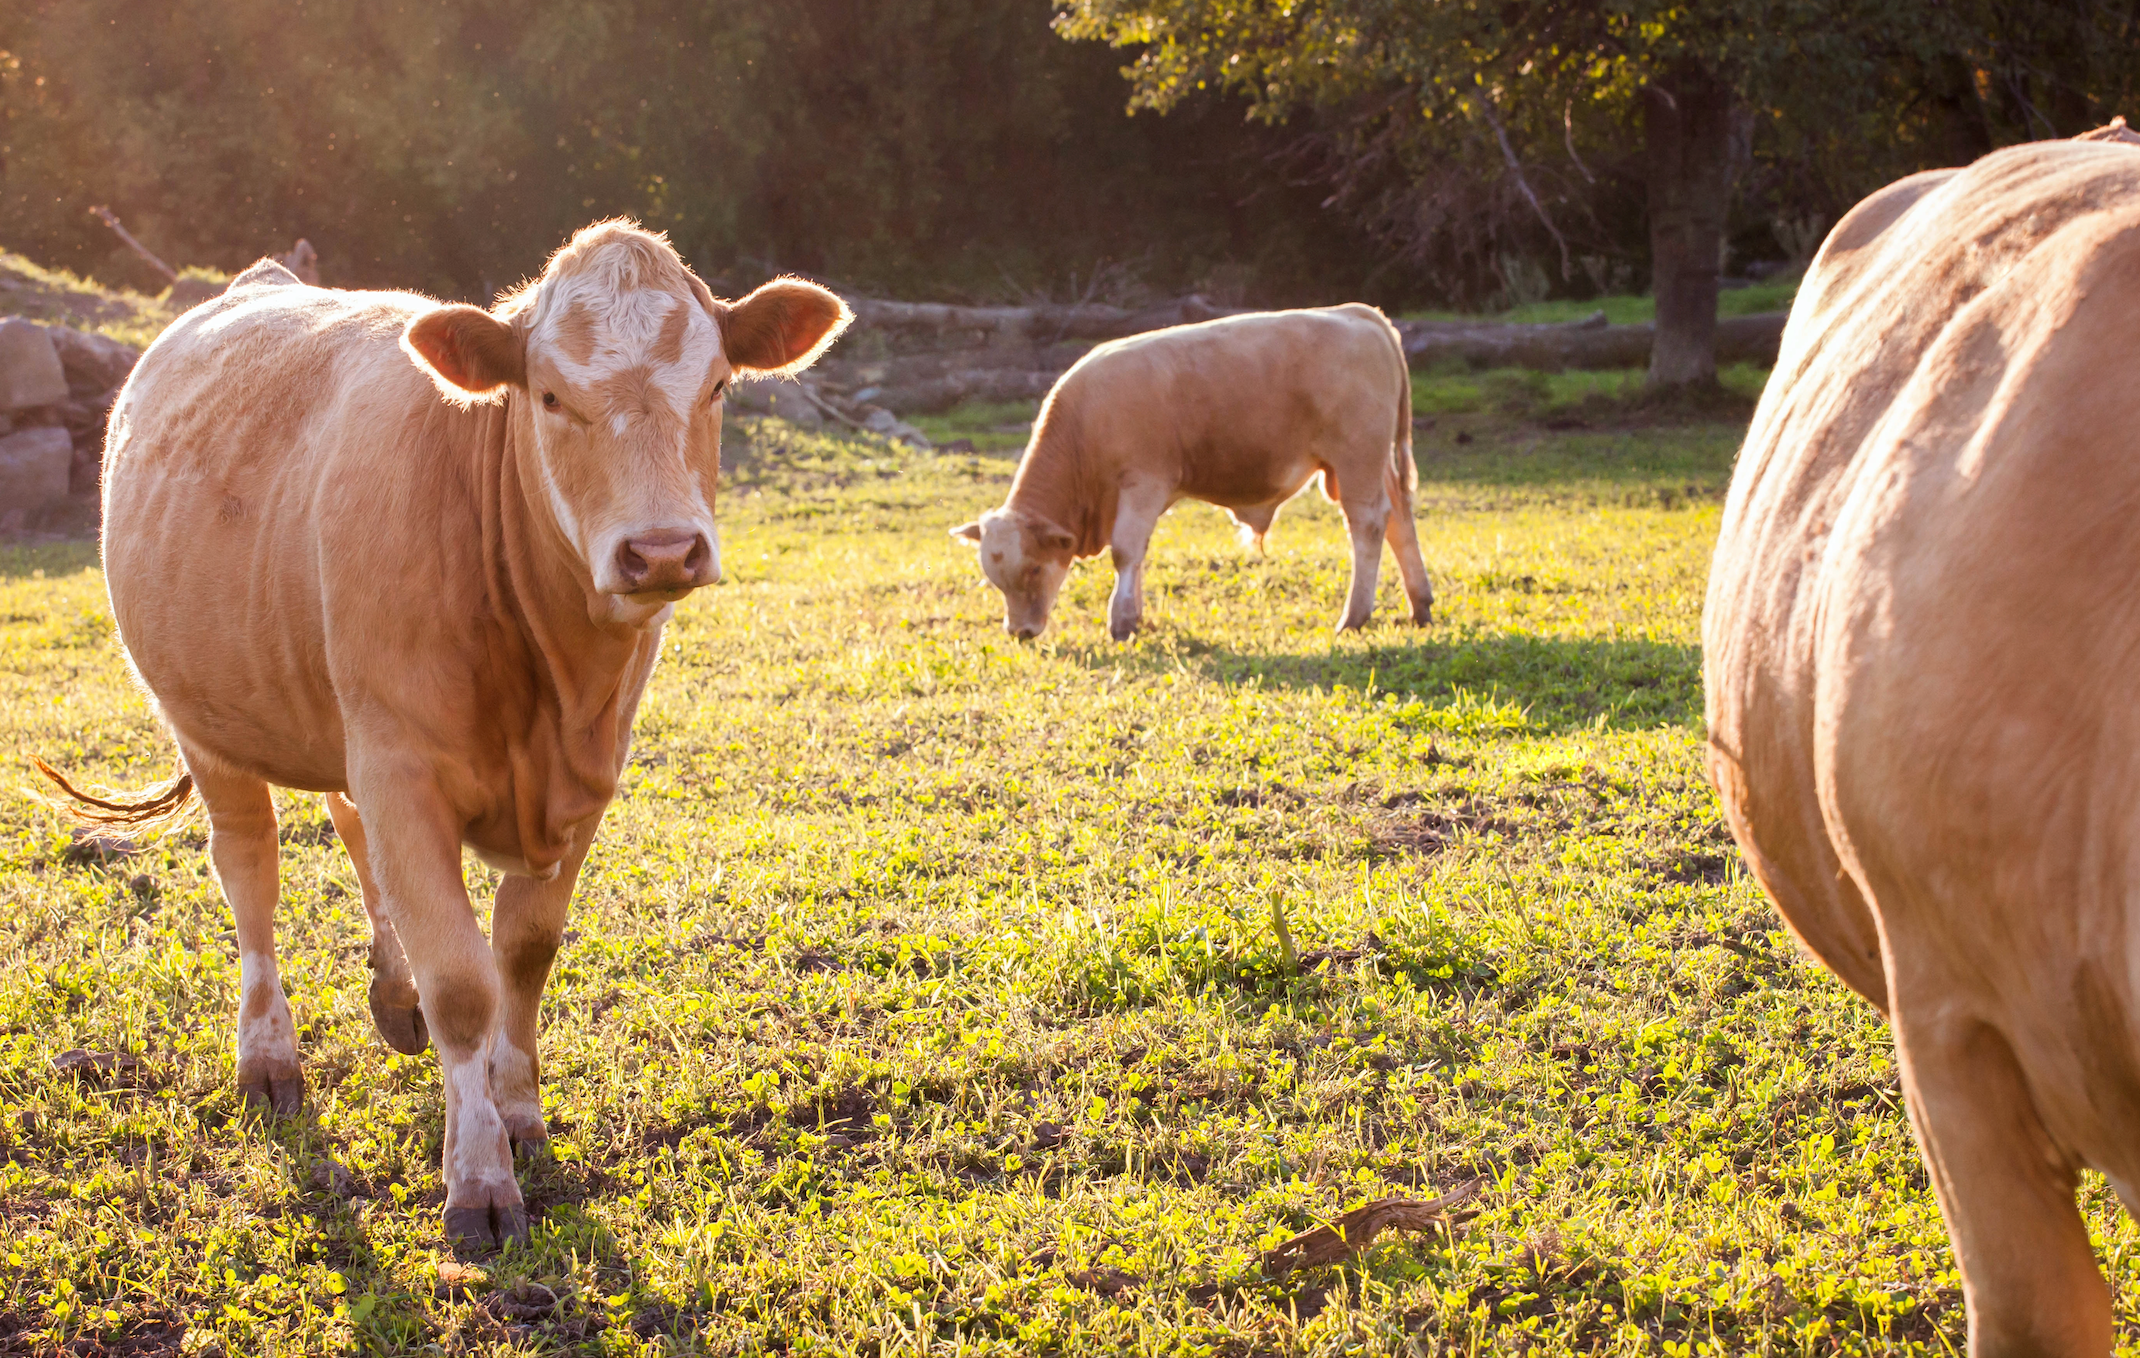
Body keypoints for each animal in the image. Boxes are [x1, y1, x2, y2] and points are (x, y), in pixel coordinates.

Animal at [41, 223, 843, 1257]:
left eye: (714, 387)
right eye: (549, 396)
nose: (662, 551)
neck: (552, 686)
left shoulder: (581, 783)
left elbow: (524, 956)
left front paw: (520, 1112)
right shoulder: (402, 766)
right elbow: (464, 980)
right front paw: (480, 1178)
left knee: (348, 833)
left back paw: (392, 992)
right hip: (208, 723)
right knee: (250, 868)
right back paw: (268, 1054)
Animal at [950, 305, 1420, 641]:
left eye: (1032, 569)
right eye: (995, 579)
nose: (1020, 632)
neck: (1085, 424)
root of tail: (1355, 313)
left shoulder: (1142, 483)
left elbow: (1125, 552)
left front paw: (1121, 623)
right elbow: (1137, 554)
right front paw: (1135, 615)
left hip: (1356, 458)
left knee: (1368, 524)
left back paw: (1355, 616)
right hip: (1370, 464)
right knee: (1400, 519)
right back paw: (1422, 605)